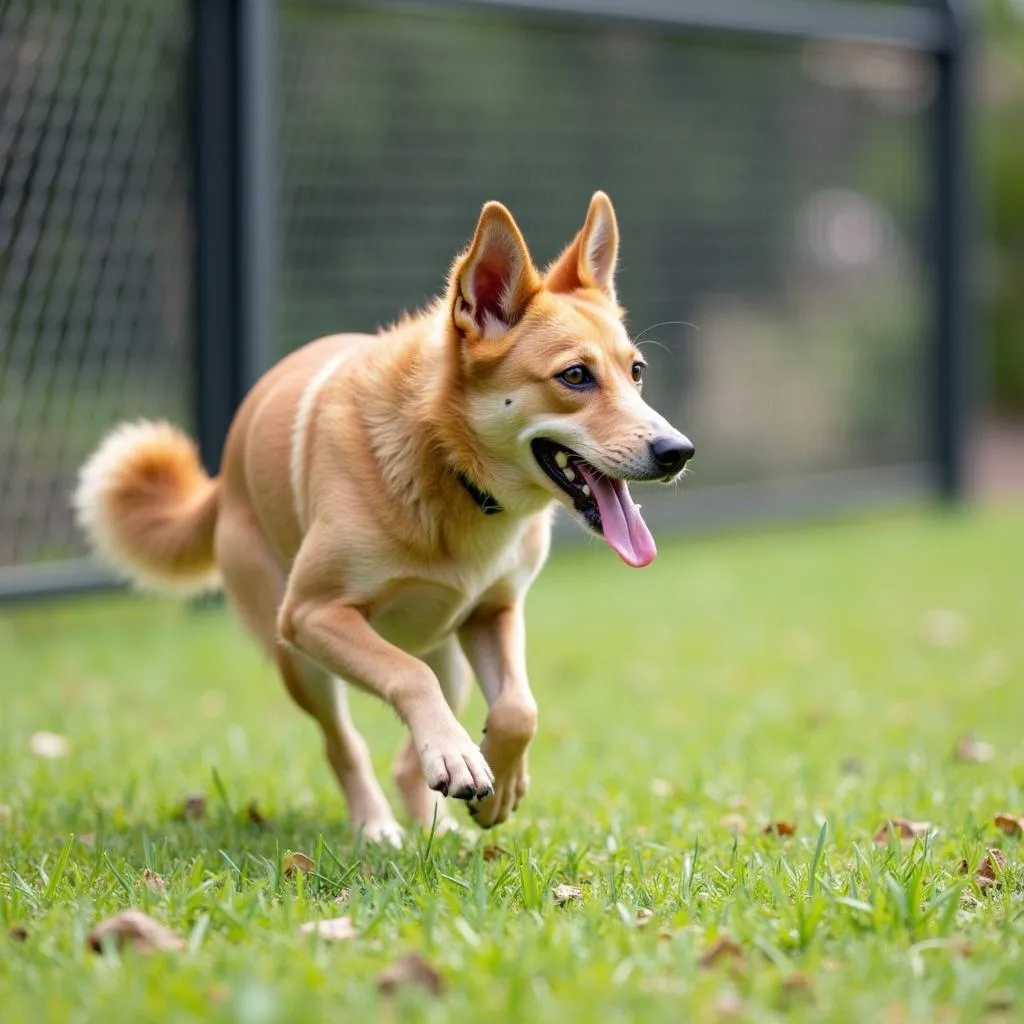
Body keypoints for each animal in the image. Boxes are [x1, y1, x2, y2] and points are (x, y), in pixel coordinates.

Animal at [74, 190, 696, 839]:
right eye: (575, 376)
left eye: (636, 372)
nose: (678, 451)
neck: (451, 469)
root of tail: (223, 479)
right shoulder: (314, 613)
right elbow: (406, 678)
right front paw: (458, 760)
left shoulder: (494, 612)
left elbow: (519, 708)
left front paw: (496, 784)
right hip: (300, 657)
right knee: (344, 743)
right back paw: (379, 826)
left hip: (449, 649)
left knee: (411, 751)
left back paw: (438, 821)